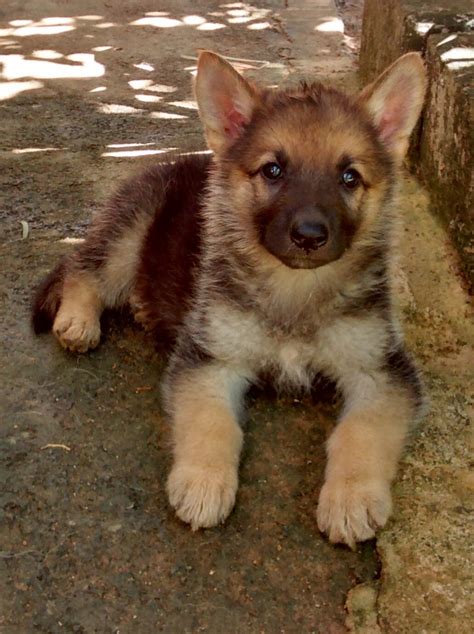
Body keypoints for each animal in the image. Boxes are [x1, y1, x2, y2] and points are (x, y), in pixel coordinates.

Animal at [32, 50, 426, 544]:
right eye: (273, 170)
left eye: (349, 177)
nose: (309, 236)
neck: (293, 290)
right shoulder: (210, 360)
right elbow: (212, 423)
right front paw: (203, 482)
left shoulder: (381, 371)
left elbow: (363, 430)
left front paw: (352, 497)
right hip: (130, 230)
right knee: (82, 268)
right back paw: (79, 321)